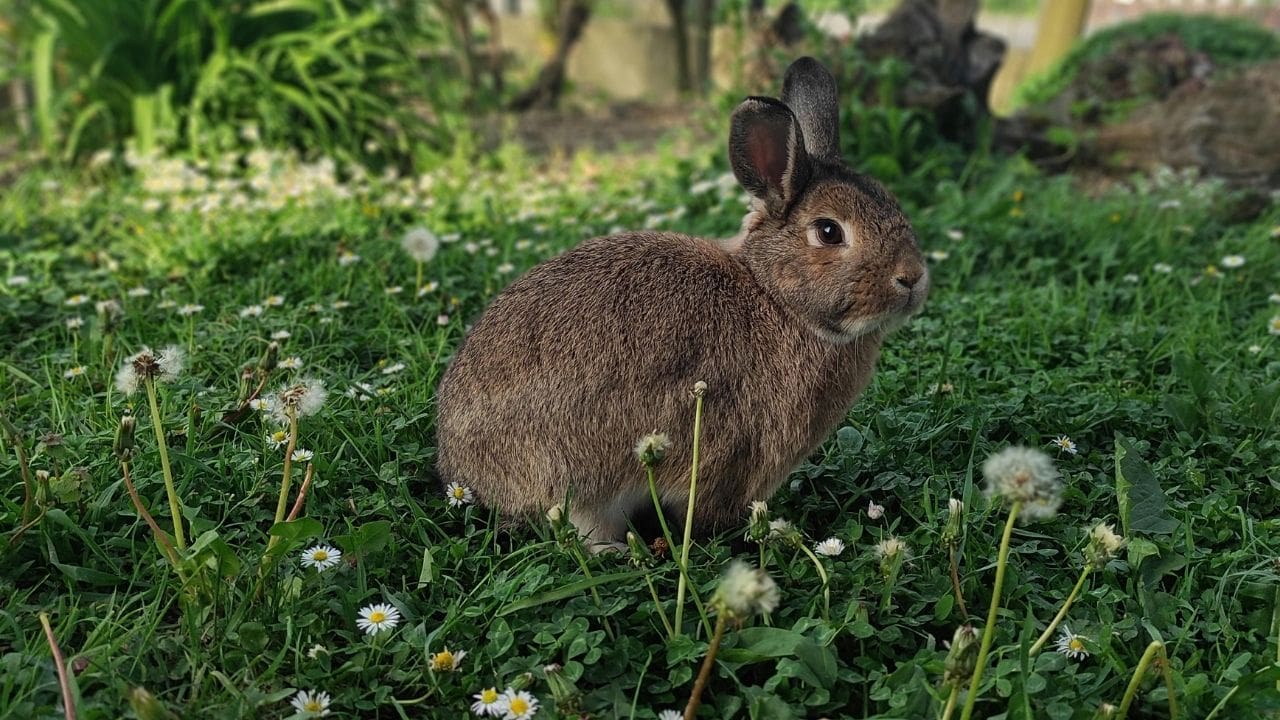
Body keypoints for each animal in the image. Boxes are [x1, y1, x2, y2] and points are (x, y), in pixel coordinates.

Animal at [435, 57, 929, 549]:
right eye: (829, 232)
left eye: (893, 203)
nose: (912, 277)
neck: (774, 296)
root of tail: (460, 465)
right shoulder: (735, 454)